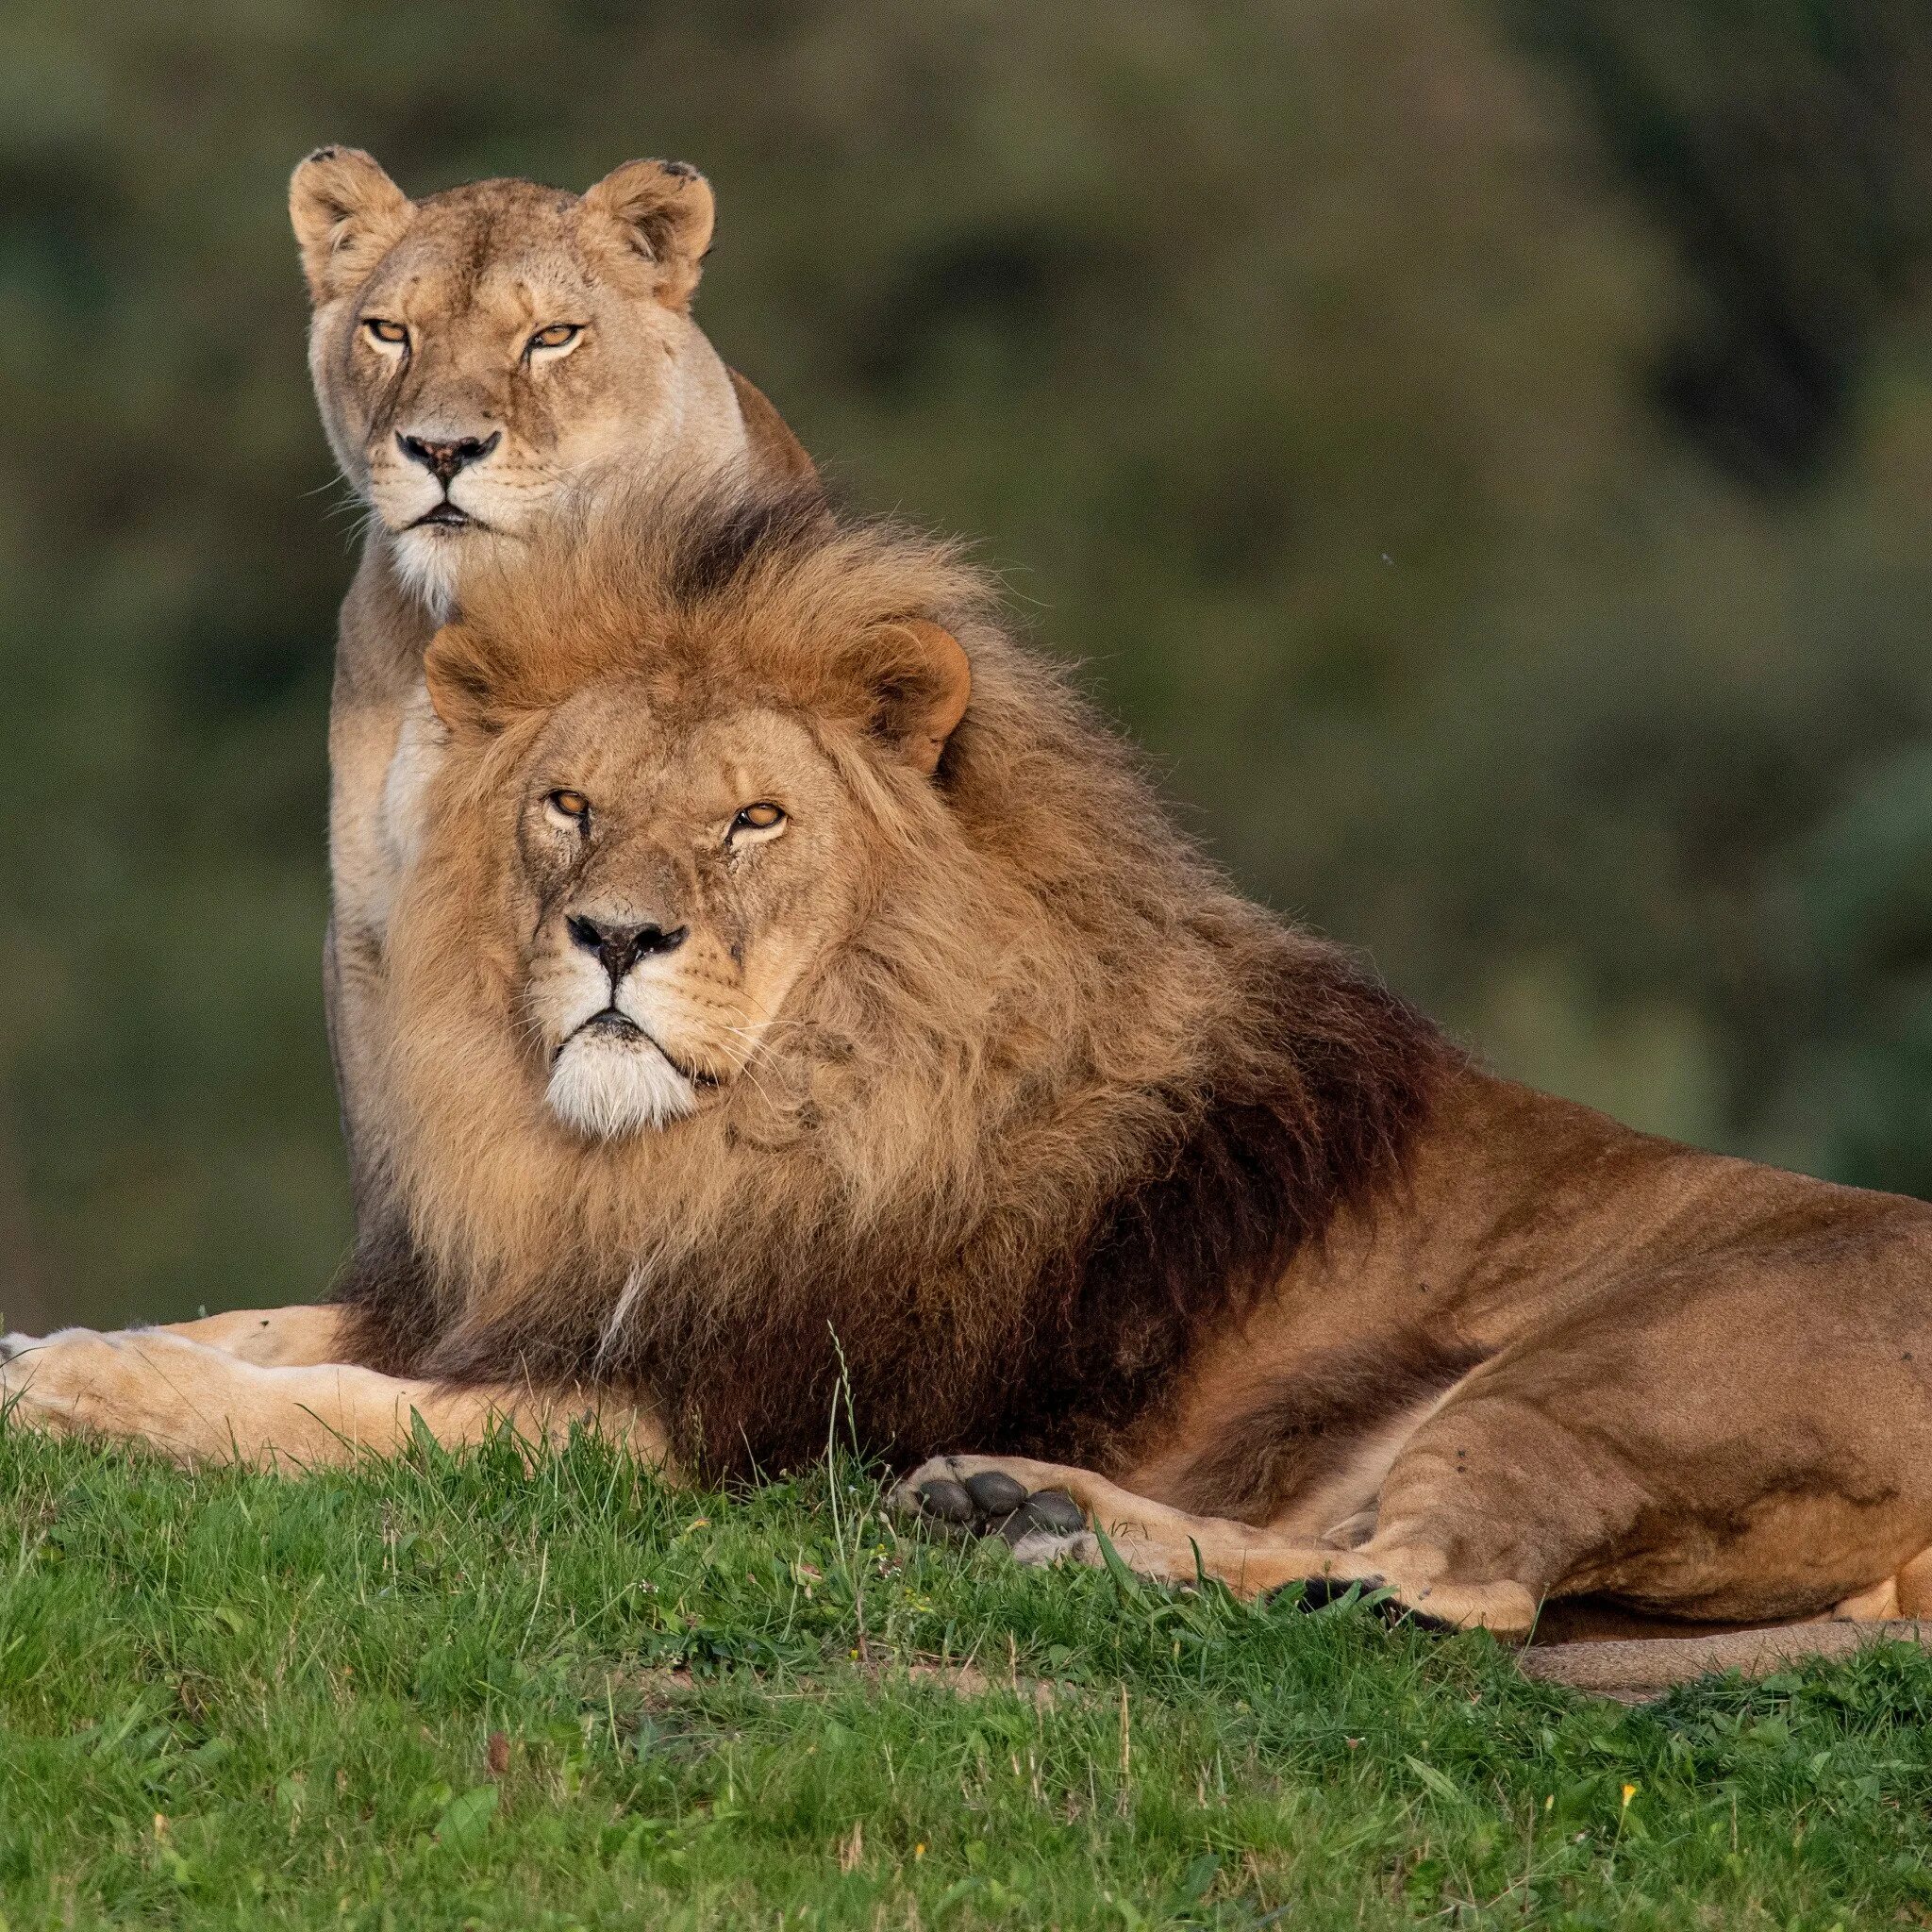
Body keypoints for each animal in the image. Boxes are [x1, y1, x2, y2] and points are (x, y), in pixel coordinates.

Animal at [11, 483, 1932, 1676]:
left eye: (753, 819)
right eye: (566, 802)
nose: (615, 937)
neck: (688, 1149)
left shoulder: (689, 1420)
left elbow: (328, 1411)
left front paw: (84, 1393)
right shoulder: (527, 1298)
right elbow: (259, 1329)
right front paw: (58, 1344)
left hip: (1605, 1370)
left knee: (1446, 1598)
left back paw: (1051, 1537)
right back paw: (1015, 1507)